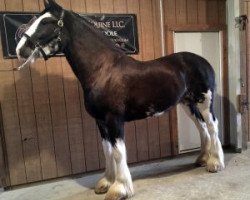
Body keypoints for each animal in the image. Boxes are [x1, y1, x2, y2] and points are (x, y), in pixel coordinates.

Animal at [16, 0, 225, 200]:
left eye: (46, 22)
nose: (20, 50)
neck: (102, 70)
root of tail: (202, 61)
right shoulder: (100, 121)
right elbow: (107, 150)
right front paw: (106, 182)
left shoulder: (113, 119)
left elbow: (118, 152)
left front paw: (119, 189)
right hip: (187, 103)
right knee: (201, 126)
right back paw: (202, 159)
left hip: (205, 101)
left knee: (212, 125)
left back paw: (215, 163)